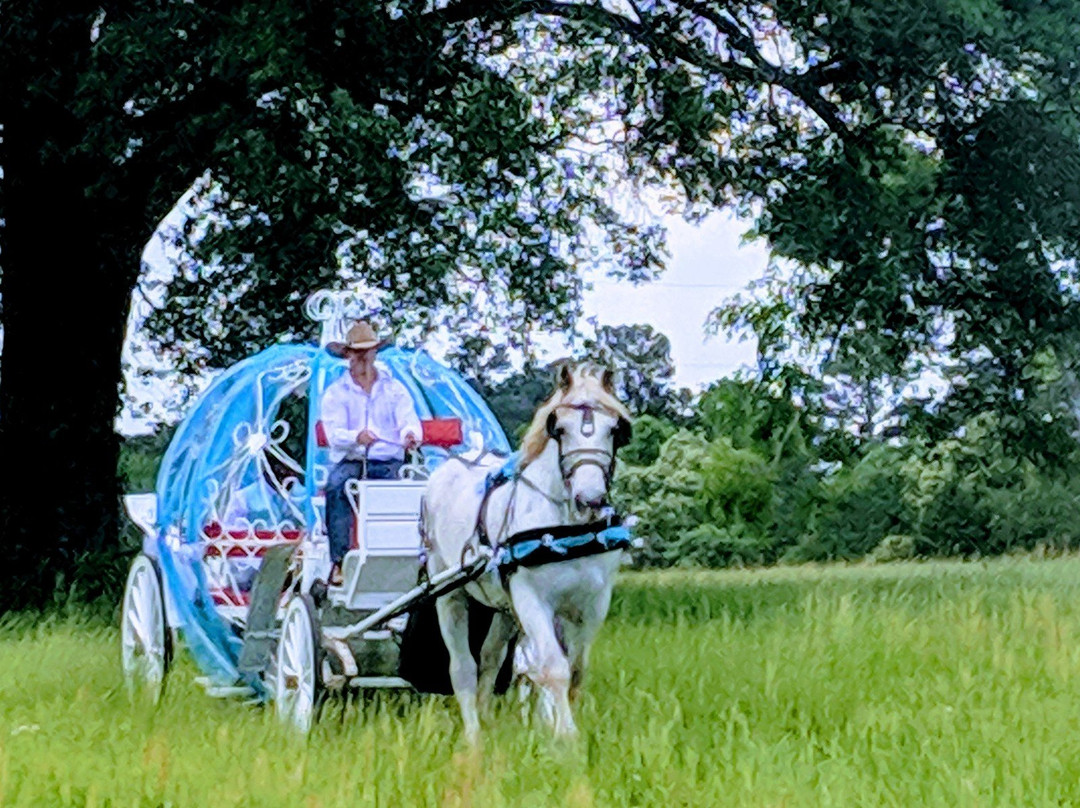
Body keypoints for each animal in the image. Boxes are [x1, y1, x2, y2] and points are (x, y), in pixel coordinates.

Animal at [419, 362, 630, 743]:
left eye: (613, 430)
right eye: (560, 429)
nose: (590, 499)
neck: (565, 529)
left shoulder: (592, 603)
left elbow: (575, 670)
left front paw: (554, 725)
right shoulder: (532, 598)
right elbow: (553, 666)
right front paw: (567, 736)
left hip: (504, 607)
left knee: (490, 658)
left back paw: (488, 717)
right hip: (448, 591)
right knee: (463, 666)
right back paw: (474, 733)